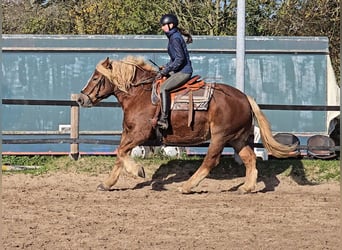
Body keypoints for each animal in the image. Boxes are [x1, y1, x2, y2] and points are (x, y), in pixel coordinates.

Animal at [77, 56, 296, 193]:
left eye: (96, 78)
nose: (80, 99)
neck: (139, 95)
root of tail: (244, 97)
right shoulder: (128, 133)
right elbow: (119, 155)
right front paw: (107, 183)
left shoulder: (140, 133)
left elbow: (122, 152)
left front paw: (138, 171)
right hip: (238, 139)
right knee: (250, 159)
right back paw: (247, 187)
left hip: (220, 137)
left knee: (210, 161)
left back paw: (187, 186)